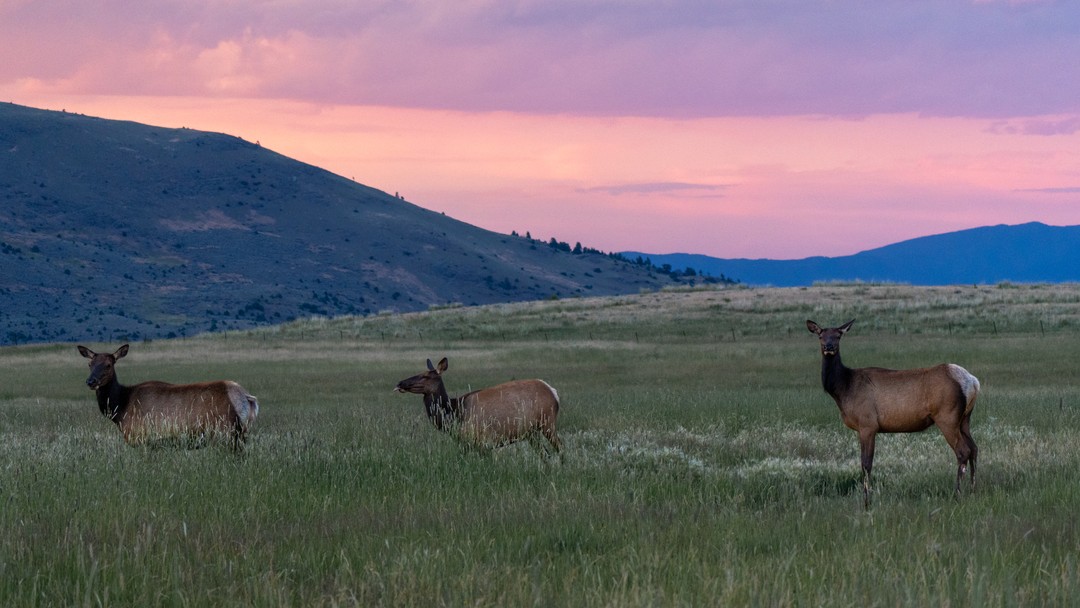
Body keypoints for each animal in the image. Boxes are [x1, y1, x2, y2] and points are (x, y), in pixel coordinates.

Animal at [77, 344, 259, 450]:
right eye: (89, 364)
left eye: (108, 365)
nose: (91, 381)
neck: (121, 408)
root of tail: (248, 398)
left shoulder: (140, 437)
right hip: (241, 433)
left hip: (227, 431)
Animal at [394, 357, 562, 455]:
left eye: (425, 376)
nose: (400, 383)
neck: (454, 413)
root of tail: (553, 392)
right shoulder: (466, 444)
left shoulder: (483, 442)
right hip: (531, 432)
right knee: (544, 454)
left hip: (548, 422)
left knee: (559, 448)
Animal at [806, 320, 979, 508]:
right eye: (820, 335)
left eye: (838, 335)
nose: (828, 347)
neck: (843, 389)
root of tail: (972, 382)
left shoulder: (867, 424)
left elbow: (866, 464)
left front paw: (867, 502)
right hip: (965, 418)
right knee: (974, 448)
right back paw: (972, 490)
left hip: (947, 416)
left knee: (963, 451)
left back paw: (958, 494)